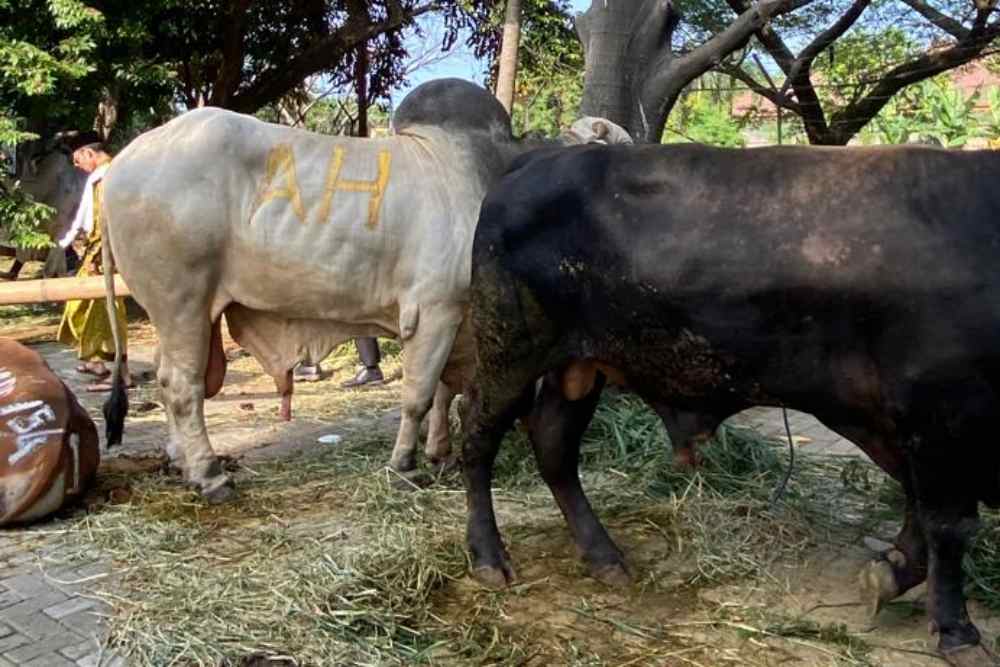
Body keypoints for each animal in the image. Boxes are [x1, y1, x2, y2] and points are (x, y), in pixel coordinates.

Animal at [464, 142, 1000, 664]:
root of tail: (543, 154)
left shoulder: (915, 430)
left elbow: (921, 514)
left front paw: (891, 573)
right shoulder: (938, 419)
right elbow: (950, 525)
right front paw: (956, 632)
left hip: (578, 365)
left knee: (554, 447)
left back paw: (604, 557)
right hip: (508, 350)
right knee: (477, 438)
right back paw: (488, 557)